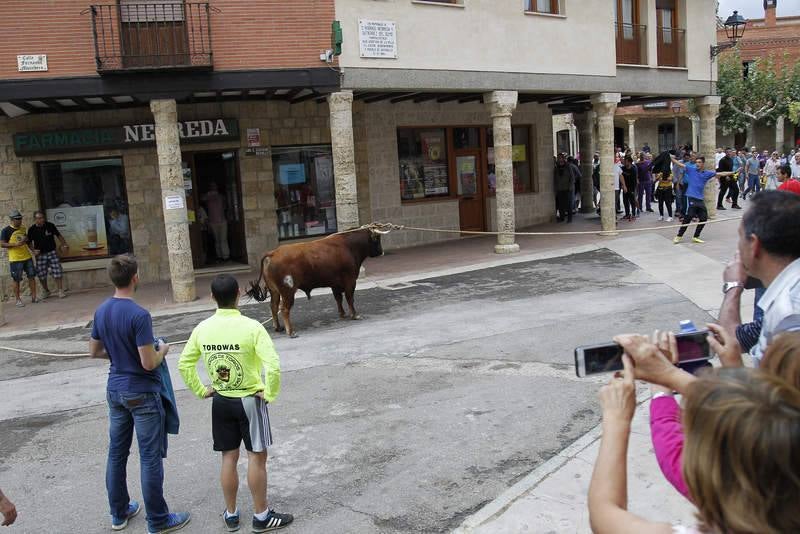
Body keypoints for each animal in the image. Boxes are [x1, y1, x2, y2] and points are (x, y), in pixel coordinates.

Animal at [245, 229, 382, 340]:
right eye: (377, 240)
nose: (381, 252)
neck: (348, 246)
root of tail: (273, 253)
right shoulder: (350, 281)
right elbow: (349, 298)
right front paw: (355, 315)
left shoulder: (335, 284)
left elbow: (338, 298)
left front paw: (342, 314)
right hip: (288, 291)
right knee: (284, 309)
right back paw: (291, 332)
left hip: (274, 291)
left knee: (273, 306)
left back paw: (278, 327)